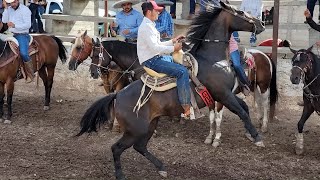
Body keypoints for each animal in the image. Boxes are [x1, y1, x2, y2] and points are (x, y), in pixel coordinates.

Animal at [77, 2, 264, 179]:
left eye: (96, 54)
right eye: (240, 12)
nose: (260, 23)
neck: (212, 60)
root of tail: (118, 95)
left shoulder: (225, 94)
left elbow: (243, 108)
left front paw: (250, 133)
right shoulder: (223, 94)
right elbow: (242, 111)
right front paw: (257, 138)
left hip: (149, 124)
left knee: (139, 146)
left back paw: (161, 168)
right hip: (135, 130)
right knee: (117, 148)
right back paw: (121, 175)